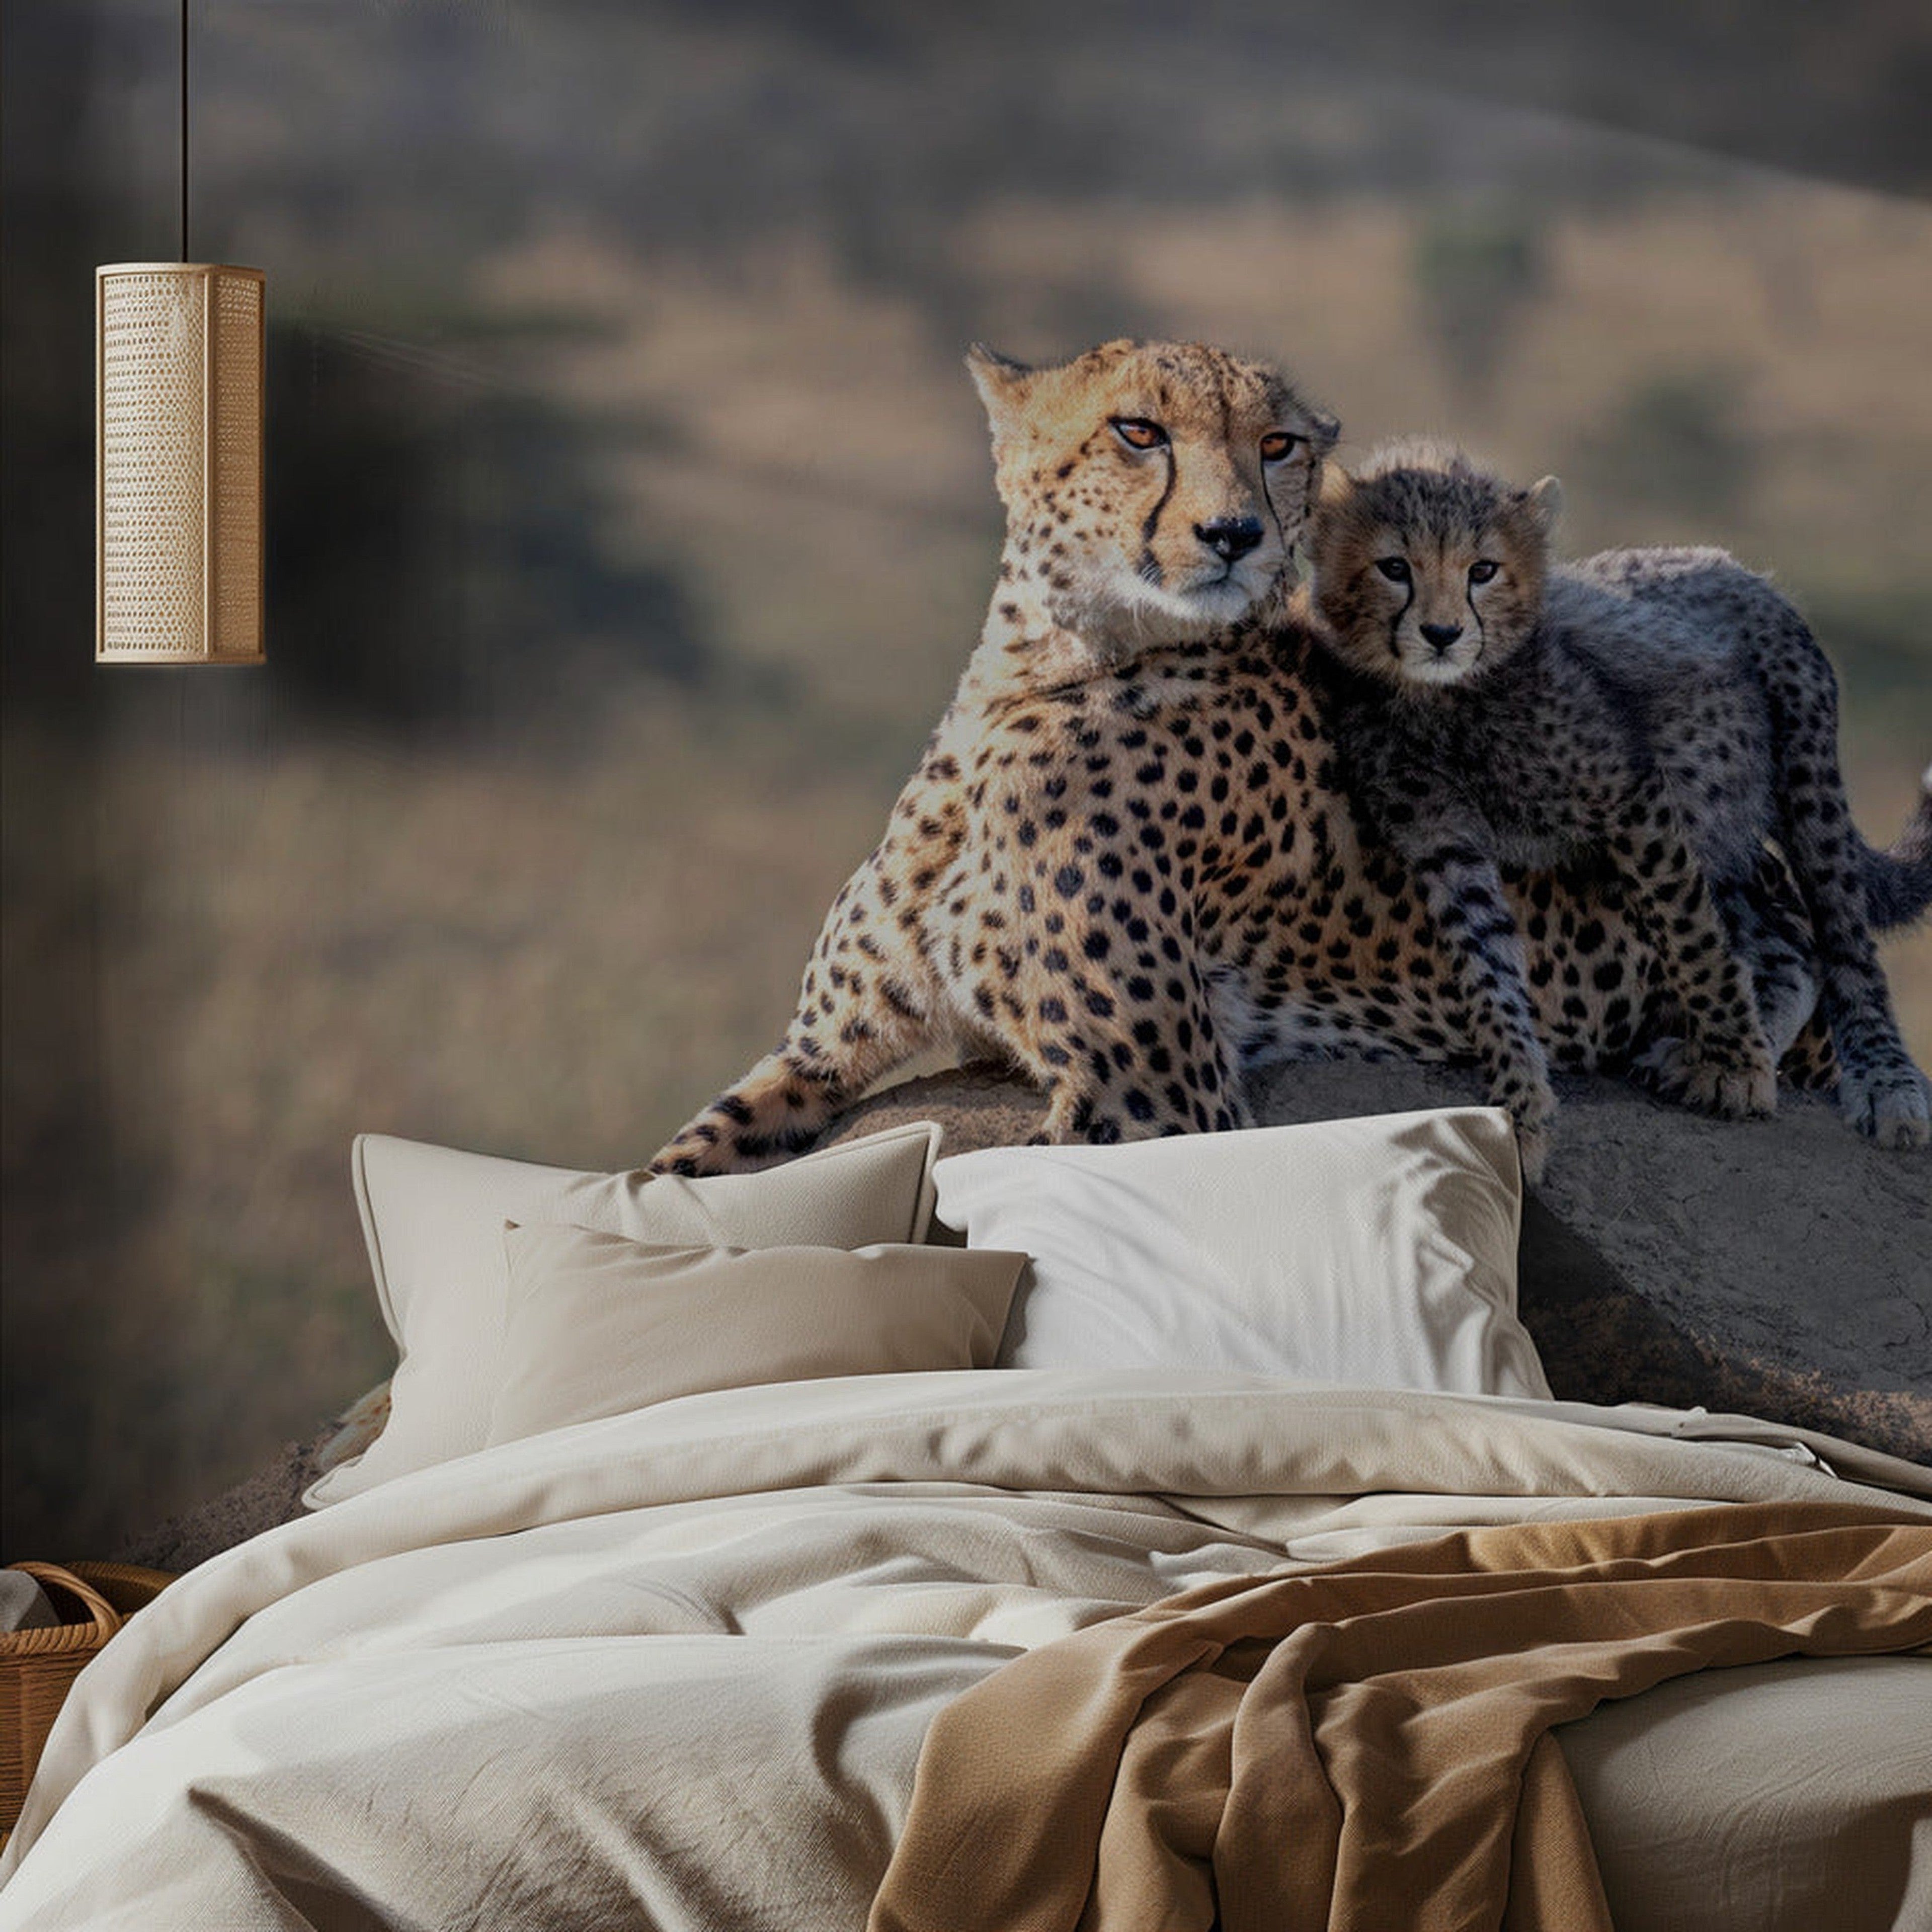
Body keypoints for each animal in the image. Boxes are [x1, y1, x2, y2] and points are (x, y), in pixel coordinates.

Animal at [648, 340, 1836, 1182]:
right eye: (1137, 431)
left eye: (1277, 447)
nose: (1235, 535)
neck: (1043, 673)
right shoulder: (822, 1053)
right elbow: (673, 1178)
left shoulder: (1159, 1102)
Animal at [1303, 437, 1932, 1156]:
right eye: (1394, 568)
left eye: (1483, 570)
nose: (1441, 634)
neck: (1442, 701)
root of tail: (1731, 563)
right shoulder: (1442, 840)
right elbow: (1488, 965)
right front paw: (1520, 1109)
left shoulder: (1631, 799)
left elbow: (1693, 941)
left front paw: (1740, 1068)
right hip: (1717, 824)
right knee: (1784, 945)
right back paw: (1714, 1045)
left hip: (1803, 774)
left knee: (1844, 935)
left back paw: (1882, 1082)